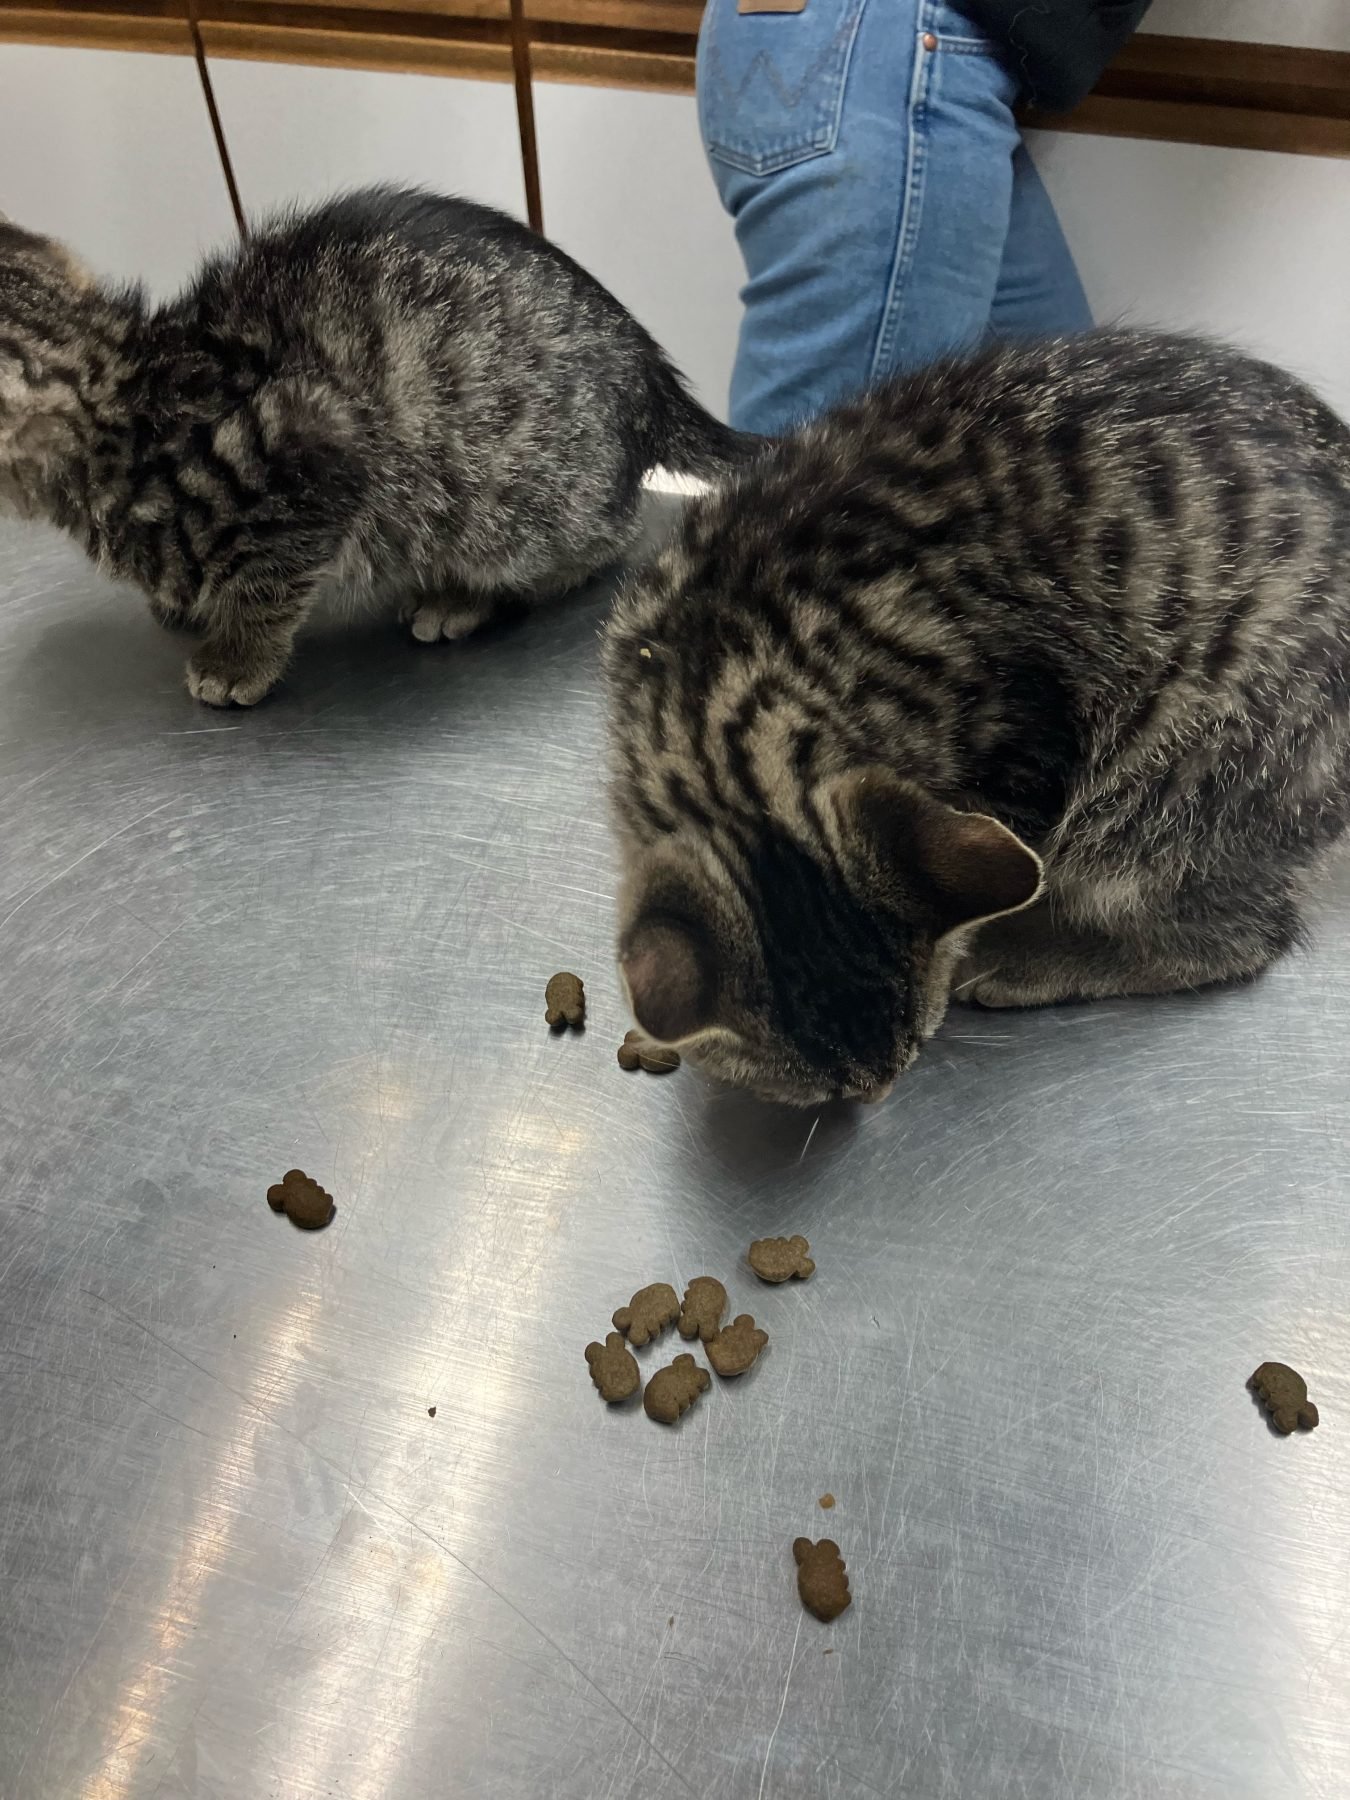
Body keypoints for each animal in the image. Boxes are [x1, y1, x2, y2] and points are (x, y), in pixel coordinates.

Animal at [0, 188, 757, 705]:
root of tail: (648, 369)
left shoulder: (316, 443)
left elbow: (266, 581)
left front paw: (238, 657)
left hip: (520, 507)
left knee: (607, 542)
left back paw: (462, 598)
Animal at [603, 331, 1350, 1105]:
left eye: (905, 1059)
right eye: (831, 1096)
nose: (877, 1099)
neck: (717, 664)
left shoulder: (1023, 749)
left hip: (1177, 778)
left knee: (1240, 935)